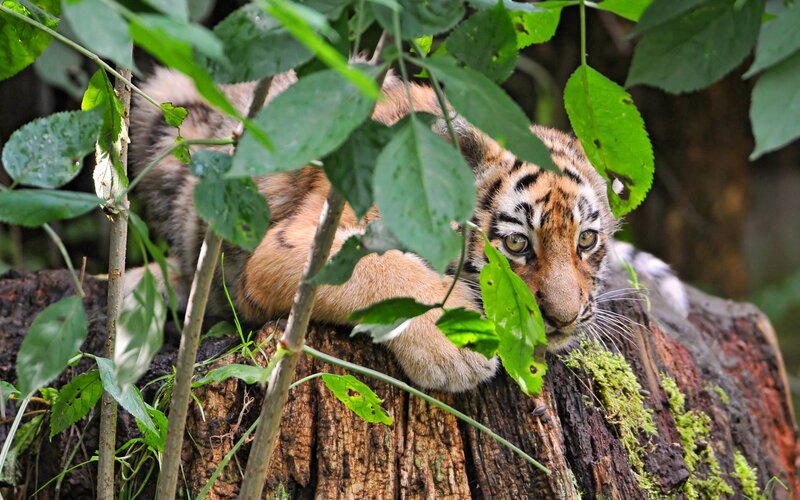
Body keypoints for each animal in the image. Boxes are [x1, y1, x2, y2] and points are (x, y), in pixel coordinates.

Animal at [129, 67, 689, 392]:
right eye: (516, 243)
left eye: (586, 240)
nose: (564, 319)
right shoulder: (290, 245)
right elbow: (376, 269)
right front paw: (457, 347)